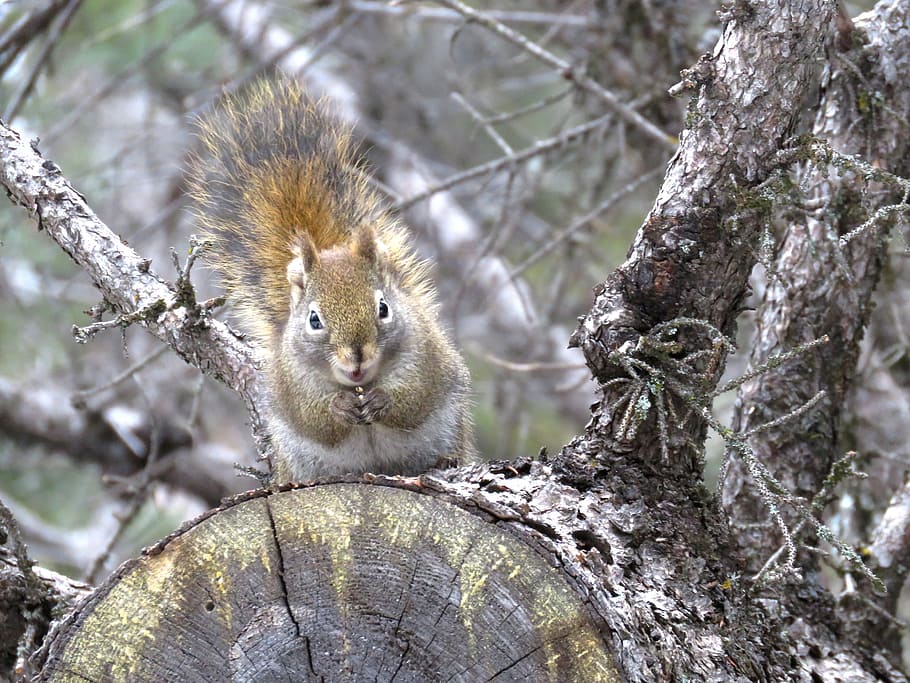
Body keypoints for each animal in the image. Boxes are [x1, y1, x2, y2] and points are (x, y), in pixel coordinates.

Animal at [187, 76, 475, 483]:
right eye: (314, 319)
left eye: (383, 307)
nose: (357, 360)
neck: (358, 384)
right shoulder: (292, 382)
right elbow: (315, 419)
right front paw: (339, 408)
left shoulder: (427, 357)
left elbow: (413, 399)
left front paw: (383, 400)